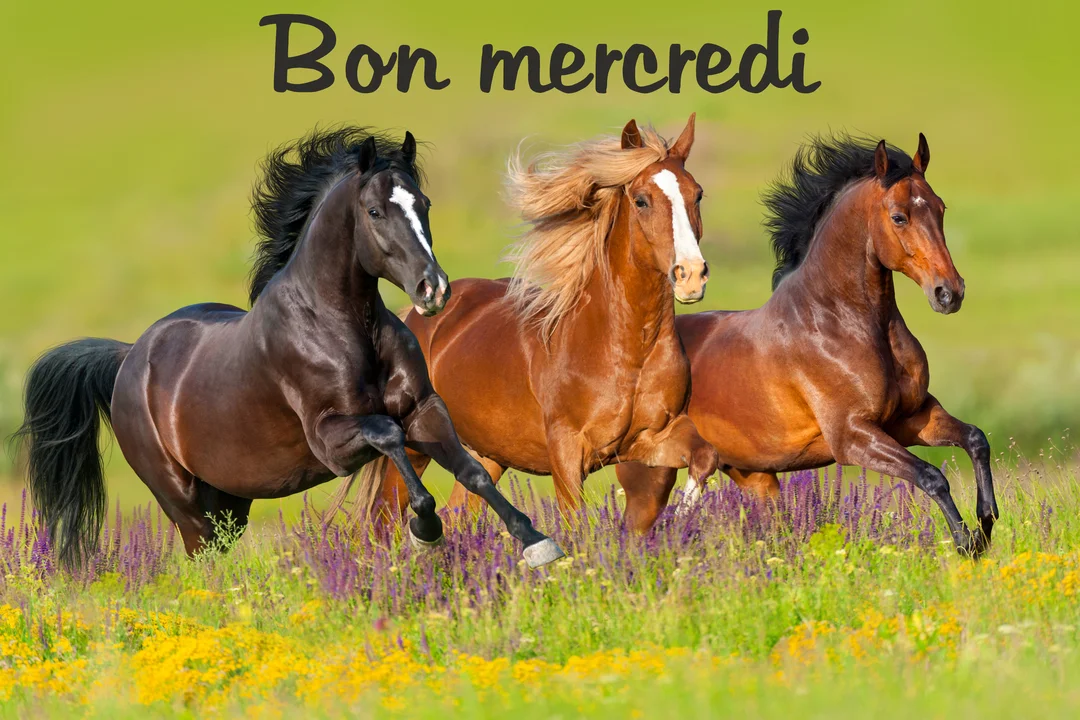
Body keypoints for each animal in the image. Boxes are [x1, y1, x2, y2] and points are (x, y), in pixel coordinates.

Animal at [13, 126, 564, 569]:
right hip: (183, 501)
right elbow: (389, 435)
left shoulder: (424, 410)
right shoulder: (332, 441)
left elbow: (473, 471)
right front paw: (425, 530)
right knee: (202, 560)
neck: (343, 328)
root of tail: (129, 358)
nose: (434, 290)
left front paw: (537, 543)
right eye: (375, 210)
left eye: (424, 204)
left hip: (229, 501)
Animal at [362, 115, 720, 530]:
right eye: (641, 200)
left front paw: (678, 522)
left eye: (697, 195)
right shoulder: (566, 452)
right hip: (415, 444)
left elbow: (705, 457)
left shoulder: (654, 437)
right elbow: (575, 524)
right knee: (383, 518)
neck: (628, 349)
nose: (691, 275)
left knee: (457, 514)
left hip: (486, 454)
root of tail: (415, 319)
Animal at [615, 134, 998, 556]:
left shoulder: (912, 418)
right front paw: (967, 543)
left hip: (755, 477)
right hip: (651, 476)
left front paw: (986, 522)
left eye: (940, 208)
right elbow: (932, 476)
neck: (840, 323)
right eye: (899, 217)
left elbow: (976, 439)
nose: (949, 293)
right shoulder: (853, 437)